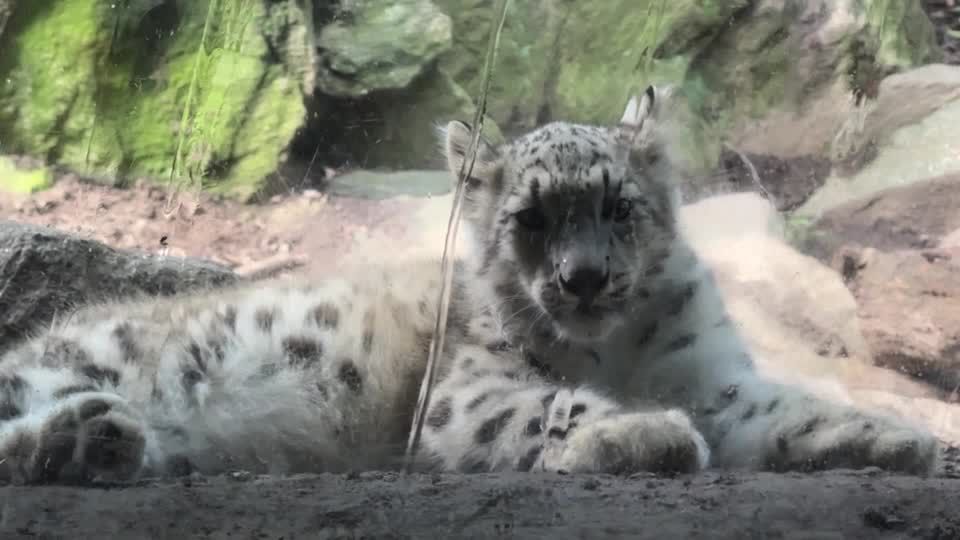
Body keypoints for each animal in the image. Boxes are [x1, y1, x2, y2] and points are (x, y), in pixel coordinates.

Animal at [0, 85, 938, 484]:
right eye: (531, 219)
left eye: (616, 205)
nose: (584, 280)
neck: (623, 353)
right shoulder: (462, 390)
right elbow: (552, 405)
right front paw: (640, 432)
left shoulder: (713, 380)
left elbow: (785, 411)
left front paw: (898, 438)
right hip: (63, 364)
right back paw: (83, 433)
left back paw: (96, 442)